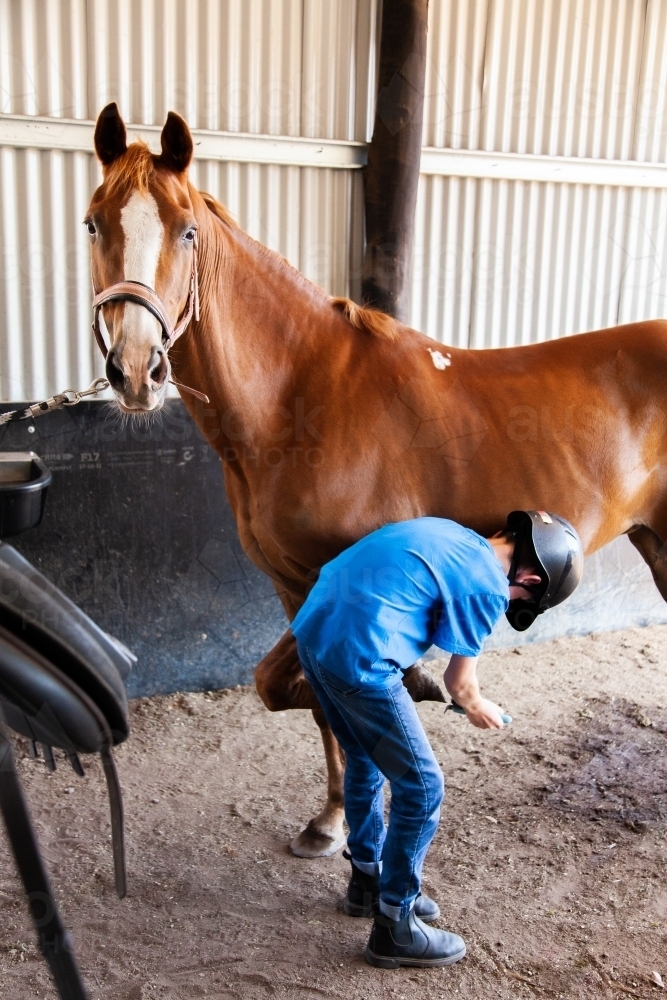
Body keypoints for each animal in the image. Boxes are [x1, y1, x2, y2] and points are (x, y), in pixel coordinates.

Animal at [87, 102, 667, 859]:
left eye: (186, 230)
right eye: (94, 223)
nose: (135, 371)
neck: (301, 397)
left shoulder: (340, 579)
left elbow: (307, 692)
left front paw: (414, 689)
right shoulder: (293, 586)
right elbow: (300, 698)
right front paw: (331, 818)